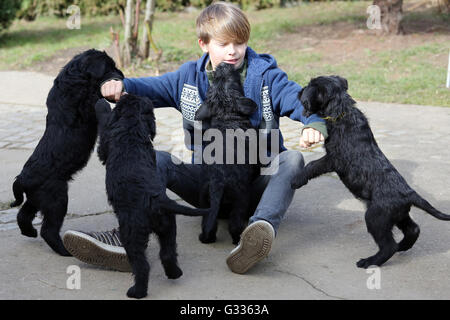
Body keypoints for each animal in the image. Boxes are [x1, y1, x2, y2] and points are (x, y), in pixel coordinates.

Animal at [11, 49, 123, 255]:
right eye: (109, 67)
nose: (122, 75)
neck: (74, 79)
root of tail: (22, 179)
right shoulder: (85, 102)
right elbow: (95, 97)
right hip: (57, 198)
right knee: (48, 229)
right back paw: (64, 250)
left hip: (38, 198)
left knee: (23, 214)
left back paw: (30, 232)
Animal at [95, 95, 207, 300]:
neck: (131, 127)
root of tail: (155, 198)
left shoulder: (106, 142)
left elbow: (105, 121)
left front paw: (102, 103)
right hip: (168, 226)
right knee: (167, 254)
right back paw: (174, 273)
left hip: (131, 232)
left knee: (142, 265)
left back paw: (137, 291)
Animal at [194, 61, 260, 244]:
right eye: (235, 81)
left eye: (217, 79)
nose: (223, 65)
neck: (226, 115)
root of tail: (218, 182)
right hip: (241, 199)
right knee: (235, 224)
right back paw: (239, 238)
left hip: (205, 199)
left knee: (208, 223)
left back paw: (205, 238)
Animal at [290, 76, 448, 268]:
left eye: (309, 85)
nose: (299, 91)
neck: (342, 112)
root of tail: (410, 194)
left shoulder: (334, 159)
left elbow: (312, 165)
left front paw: (297, 180)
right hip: (397, 215)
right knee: (413, 229)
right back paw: (403, 246)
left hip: (375, 217)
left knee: (388, 246)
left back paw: (369, 261)